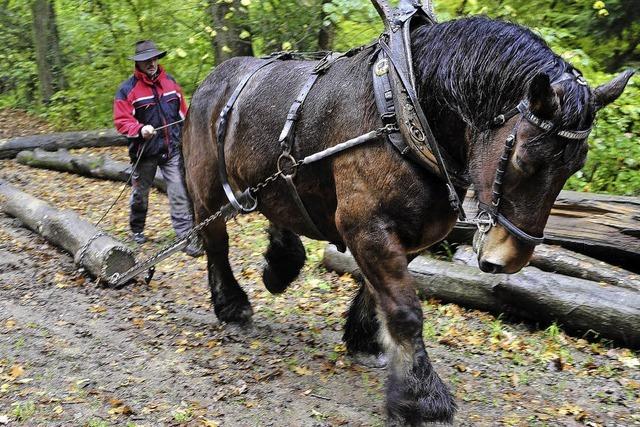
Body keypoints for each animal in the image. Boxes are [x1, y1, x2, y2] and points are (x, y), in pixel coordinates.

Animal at [182, 15, 632, 426]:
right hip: (206, 189)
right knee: (217, 243)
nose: (509, 258)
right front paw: (421, 398)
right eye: (524, 157)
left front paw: (364, 340)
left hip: (273, 176)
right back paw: (232, 306)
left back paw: (280, 264)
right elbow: (405, 311)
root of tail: (211, 81)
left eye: (574, 166)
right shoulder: (366, 226)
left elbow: (377, 293)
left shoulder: (412, 232)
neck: (402, 110)